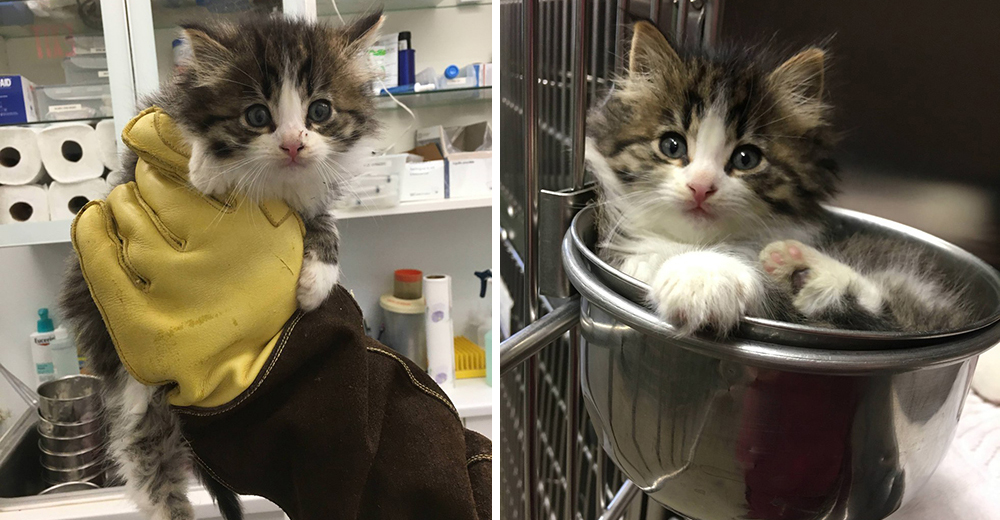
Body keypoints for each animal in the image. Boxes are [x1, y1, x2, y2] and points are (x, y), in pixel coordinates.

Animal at [59, 13, 382, 520]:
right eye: (257, 116)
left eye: (320, 111)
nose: (293, 145)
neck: (275, 184)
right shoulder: (158, 128)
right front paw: (205, 168)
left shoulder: (311, 197)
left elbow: (323, 223)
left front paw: (316, 281)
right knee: (143, 454)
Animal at [584, 21, 968, 334]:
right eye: (672, 146)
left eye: (746, 158)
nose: (701, 187)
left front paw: (702, 277)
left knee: (889, 313)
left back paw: (801, 266)